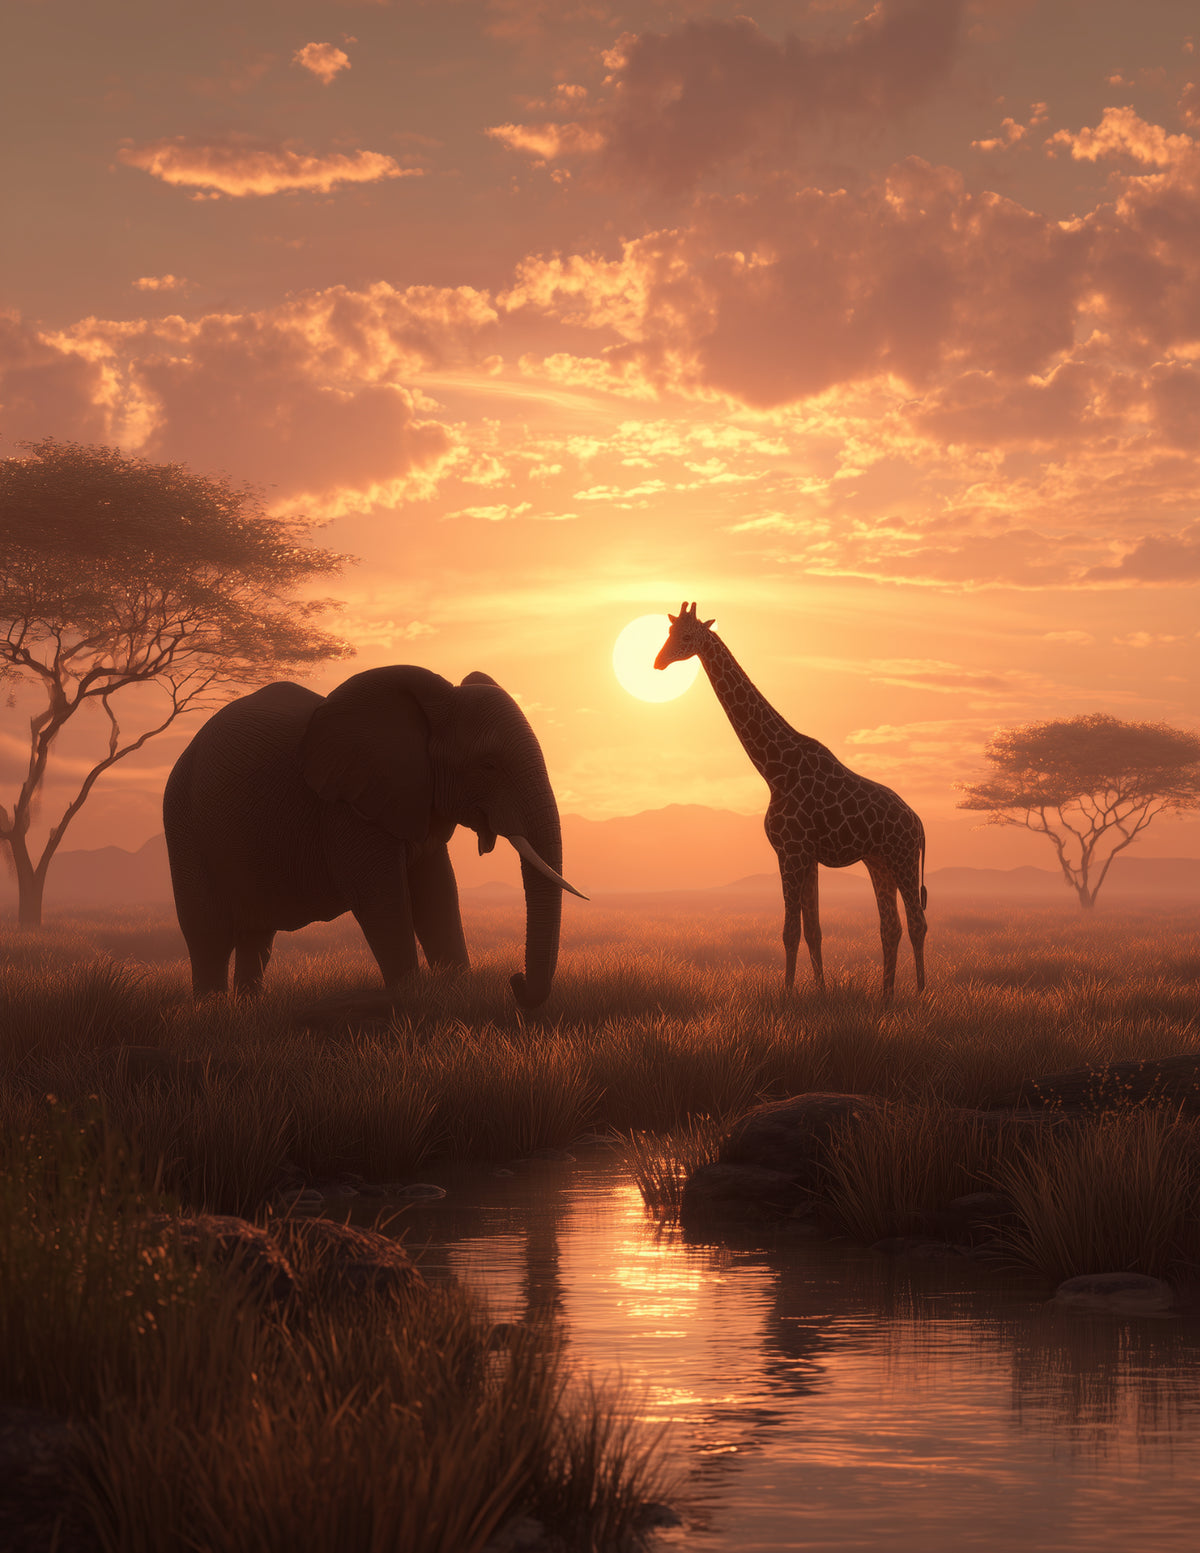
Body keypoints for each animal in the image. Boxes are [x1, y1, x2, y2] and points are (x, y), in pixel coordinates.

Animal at [162, 665, 585, 1007]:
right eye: (489, 765)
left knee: (257, 934)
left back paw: (249, 1008)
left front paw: (457, 992)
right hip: (183, 824)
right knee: (208, 931)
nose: (515, 981)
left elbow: (437, 890)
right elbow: (381, 894)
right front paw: (410, 999)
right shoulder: (344, 806)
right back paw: (212, 1011)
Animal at [655, 603, 927, 1001]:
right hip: (878, 861)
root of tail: (919, 823)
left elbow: (790, 931)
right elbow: (813, 930)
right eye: (670, 634)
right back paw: (886, 995)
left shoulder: (790, 850)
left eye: (687, 636)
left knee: (918, 922)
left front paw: (786, 995)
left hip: (902, 857)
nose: (659, 662)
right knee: (890, 925)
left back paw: (921, 993)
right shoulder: (807, 855)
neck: (775, 770)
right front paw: (821, 992)